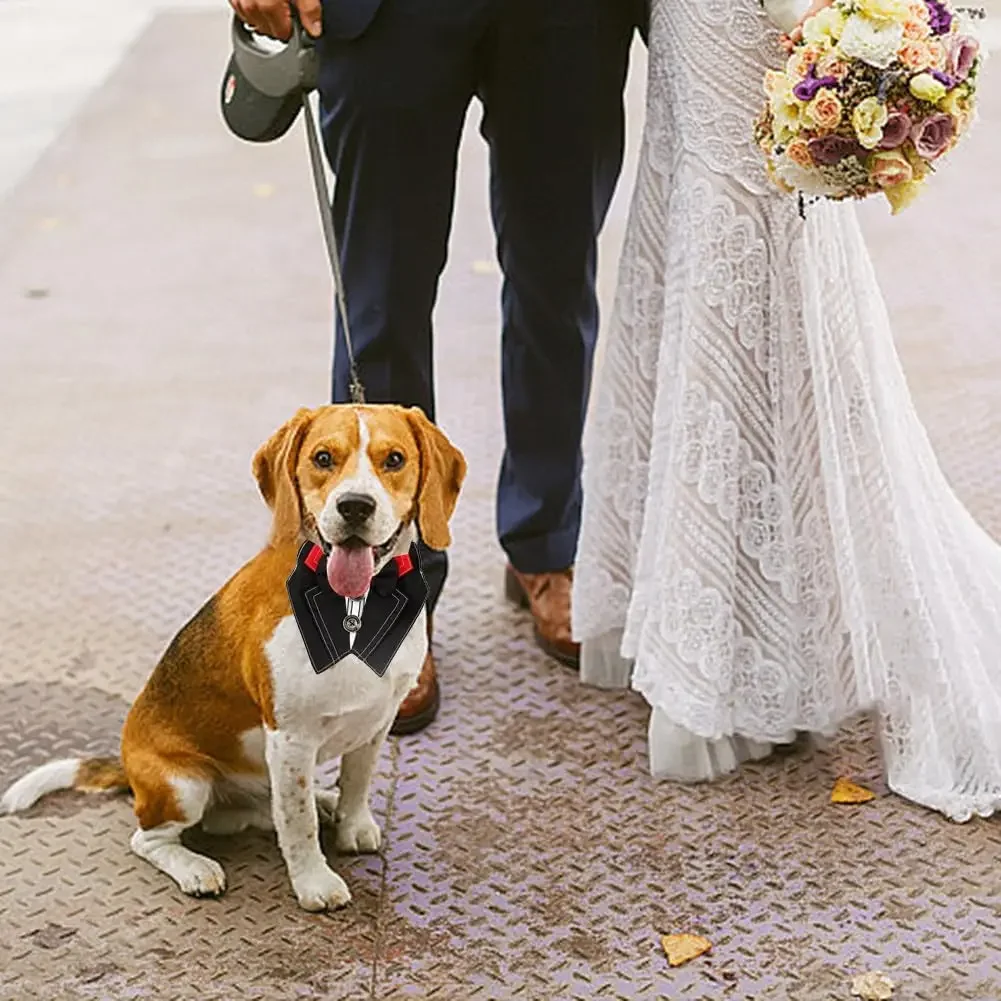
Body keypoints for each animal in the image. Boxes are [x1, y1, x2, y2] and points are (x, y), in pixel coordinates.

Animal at [0, 402, 466, 912]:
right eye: (323, 458)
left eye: (394, 459)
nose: (355, 506)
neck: (357, 605)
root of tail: (129, 766)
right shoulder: (290, 738)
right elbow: (298, 824)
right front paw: (314, 882)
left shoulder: (375, 722)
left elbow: (357, 783)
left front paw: (352, 824)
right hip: (184, 786)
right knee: (151, 839)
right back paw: (195, 868)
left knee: (260, 811)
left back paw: (321, 802)